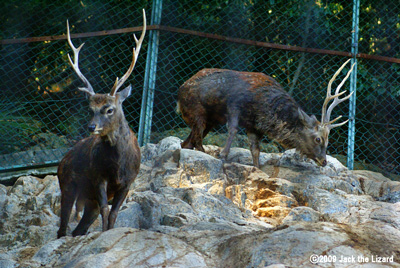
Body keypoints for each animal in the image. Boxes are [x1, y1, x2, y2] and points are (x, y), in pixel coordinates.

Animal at [57, 9, 147, 238]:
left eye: (109, 109)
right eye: (90, 109)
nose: (91, 127)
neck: (118, 166)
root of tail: (62, 160)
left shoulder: (129, 181)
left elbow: (114, 213)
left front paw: (110, 232)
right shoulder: (99, 177)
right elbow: (107, 209)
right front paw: (105, 233)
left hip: (88, 201)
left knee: (78, 229)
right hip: (67, 185)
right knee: (62, 228)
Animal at [177, 60, 354, 168]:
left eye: (328, 139)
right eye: (318, 139)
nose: (324, 161)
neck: (261, 107)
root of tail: (180, 92)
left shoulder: (253, 126)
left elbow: (255, 150)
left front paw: (256, 168)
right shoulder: (234, 105)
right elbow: (233, 129)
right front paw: (223, 155)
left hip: (209, 121)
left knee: (187, 143)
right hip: (197, 112)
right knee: (197, 141)